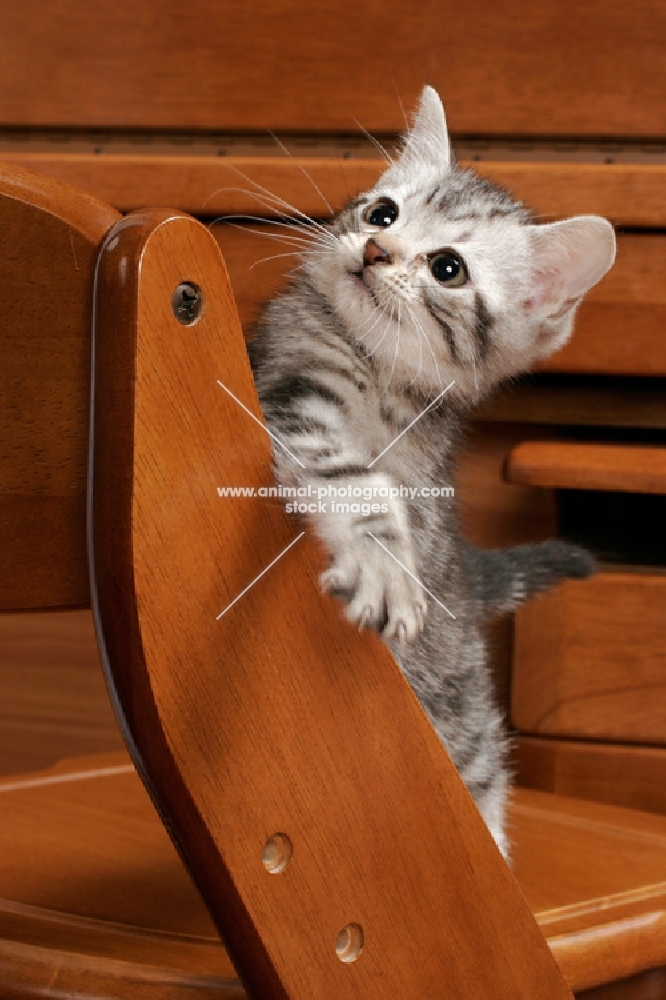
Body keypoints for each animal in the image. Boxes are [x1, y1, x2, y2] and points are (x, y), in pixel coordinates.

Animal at [246, 86, 616, 860]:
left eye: (448, 268)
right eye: (383, 213)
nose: (375, 249)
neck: (382, 382)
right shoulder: (289, 395)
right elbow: (354, 482)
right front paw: (384, 565)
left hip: (455, 688)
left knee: (476, 765)